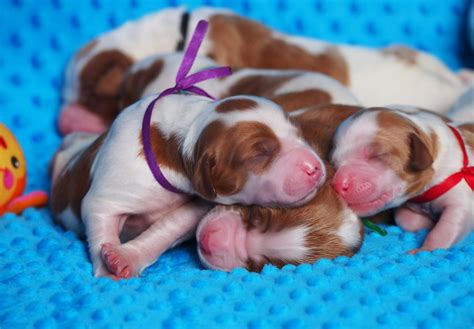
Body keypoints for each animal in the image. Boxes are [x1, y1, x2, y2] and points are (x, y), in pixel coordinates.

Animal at [52, 91, 326, 276]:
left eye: (299, 134)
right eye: (260, 154)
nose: (315, 167)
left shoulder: (199, 204)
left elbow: (170, 226)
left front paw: (126, 258)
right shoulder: (110, 195)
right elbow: (101, 220)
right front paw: (107, 270)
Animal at [332, 105, 472, 251]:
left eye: (377, 155)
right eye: (335, 163)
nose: (339, 185)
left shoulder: (460, 202)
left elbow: (447, 228)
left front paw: (425, 249)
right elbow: (406, 221)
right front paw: (427, 222)